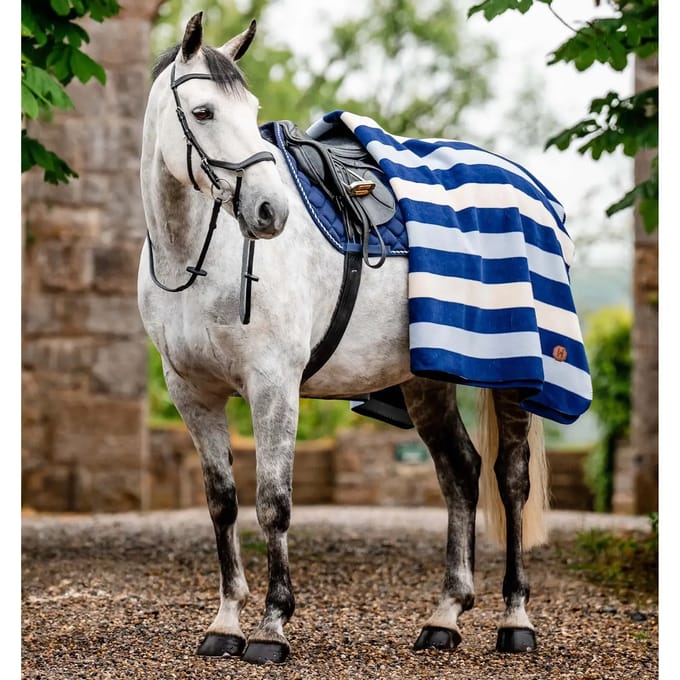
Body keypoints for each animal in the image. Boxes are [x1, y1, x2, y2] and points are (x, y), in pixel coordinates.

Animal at [138, 11, 576, 666]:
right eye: (204, 111)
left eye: (250, 108)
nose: (270, 211)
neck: (198, 257)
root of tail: (532, 191)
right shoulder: (192, 394)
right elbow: (222, 502)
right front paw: (226, 624)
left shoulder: (274, 386)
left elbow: (274, 503)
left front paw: (271, 627)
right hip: (427, 379)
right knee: (460, 472)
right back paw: (445, 617)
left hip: (515, 377)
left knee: (510, 479)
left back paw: (515, 619)